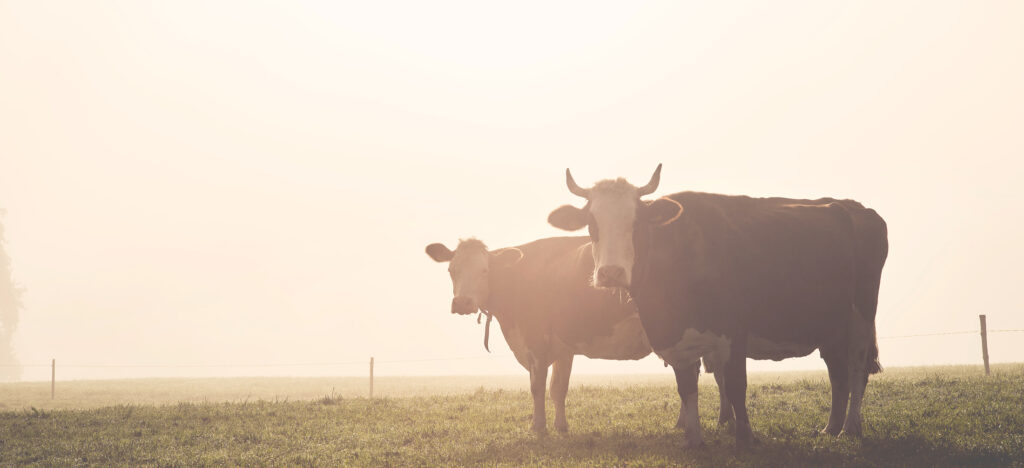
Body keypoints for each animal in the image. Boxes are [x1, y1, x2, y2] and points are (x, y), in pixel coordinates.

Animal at [425, 236, 656, 433]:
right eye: (451, 270)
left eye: (484, 270)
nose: (462, 303)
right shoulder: (563, 346)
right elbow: (558, 388)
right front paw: (560, 426)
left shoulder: (535, 340)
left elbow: (537, 386)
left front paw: (538, 426)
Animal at [547, 164, 888, 448]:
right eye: (591, 224)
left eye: (636, 223)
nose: (611, 273)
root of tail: (856, 208)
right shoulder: (676, 339)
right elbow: (687, 388)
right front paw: (694, 439)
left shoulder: (734, 331)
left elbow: (736, 385)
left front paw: (745, 437)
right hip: (831, 323)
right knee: (837, 371)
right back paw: (831, 428)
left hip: (860, 316)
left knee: (856, 369)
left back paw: (849, 428)